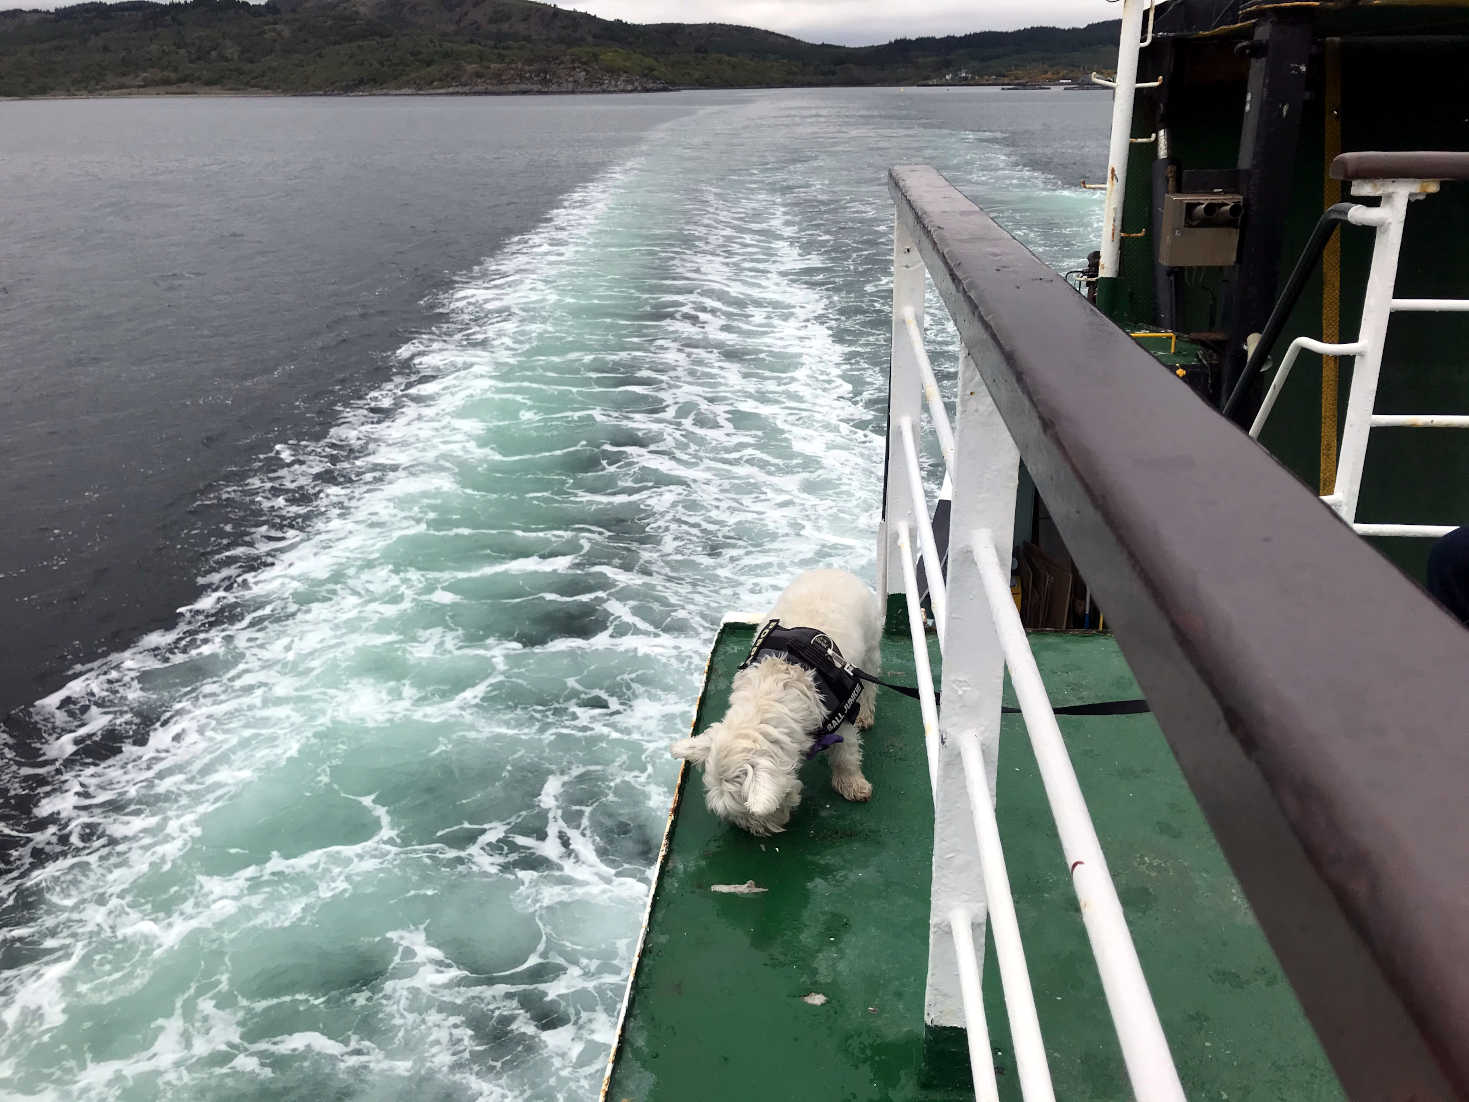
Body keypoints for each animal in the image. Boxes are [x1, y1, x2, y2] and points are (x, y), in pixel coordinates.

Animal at [669, 570, 881, 834]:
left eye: (749, 813)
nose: (752, 831)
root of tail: (834, 570)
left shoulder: (841, 717)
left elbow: (846, 755)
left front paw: (852, 784)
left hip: (870, 649)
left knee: (870, 684)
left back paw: (866, 713)